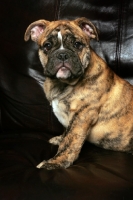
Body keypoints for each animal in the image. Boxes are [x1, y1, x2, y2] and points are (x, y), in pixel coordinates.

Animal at [24, 17, 133, 170]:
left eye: (77, 44)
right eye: (47, 46)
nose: (62, 54)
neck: (63, 84)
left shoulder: (82, 115)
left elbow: (70, 141)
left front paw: (55, 162)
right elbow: (66, 132)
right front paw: (59, 139)